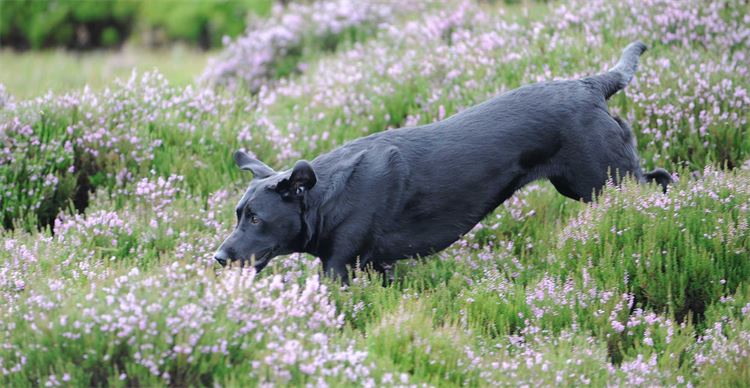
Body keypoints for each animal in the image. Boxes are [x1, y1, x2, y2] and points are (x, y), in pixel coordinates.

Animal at [214, 41, 672, 278]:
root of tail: (591, 84)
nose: (218, 257)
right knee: (662, 176)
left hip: (602, 179)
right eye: (238, 215)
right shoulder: (378, 266)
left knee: (659, 181)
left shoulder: (340, 266)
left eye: (255, 218)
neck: (327, 197)